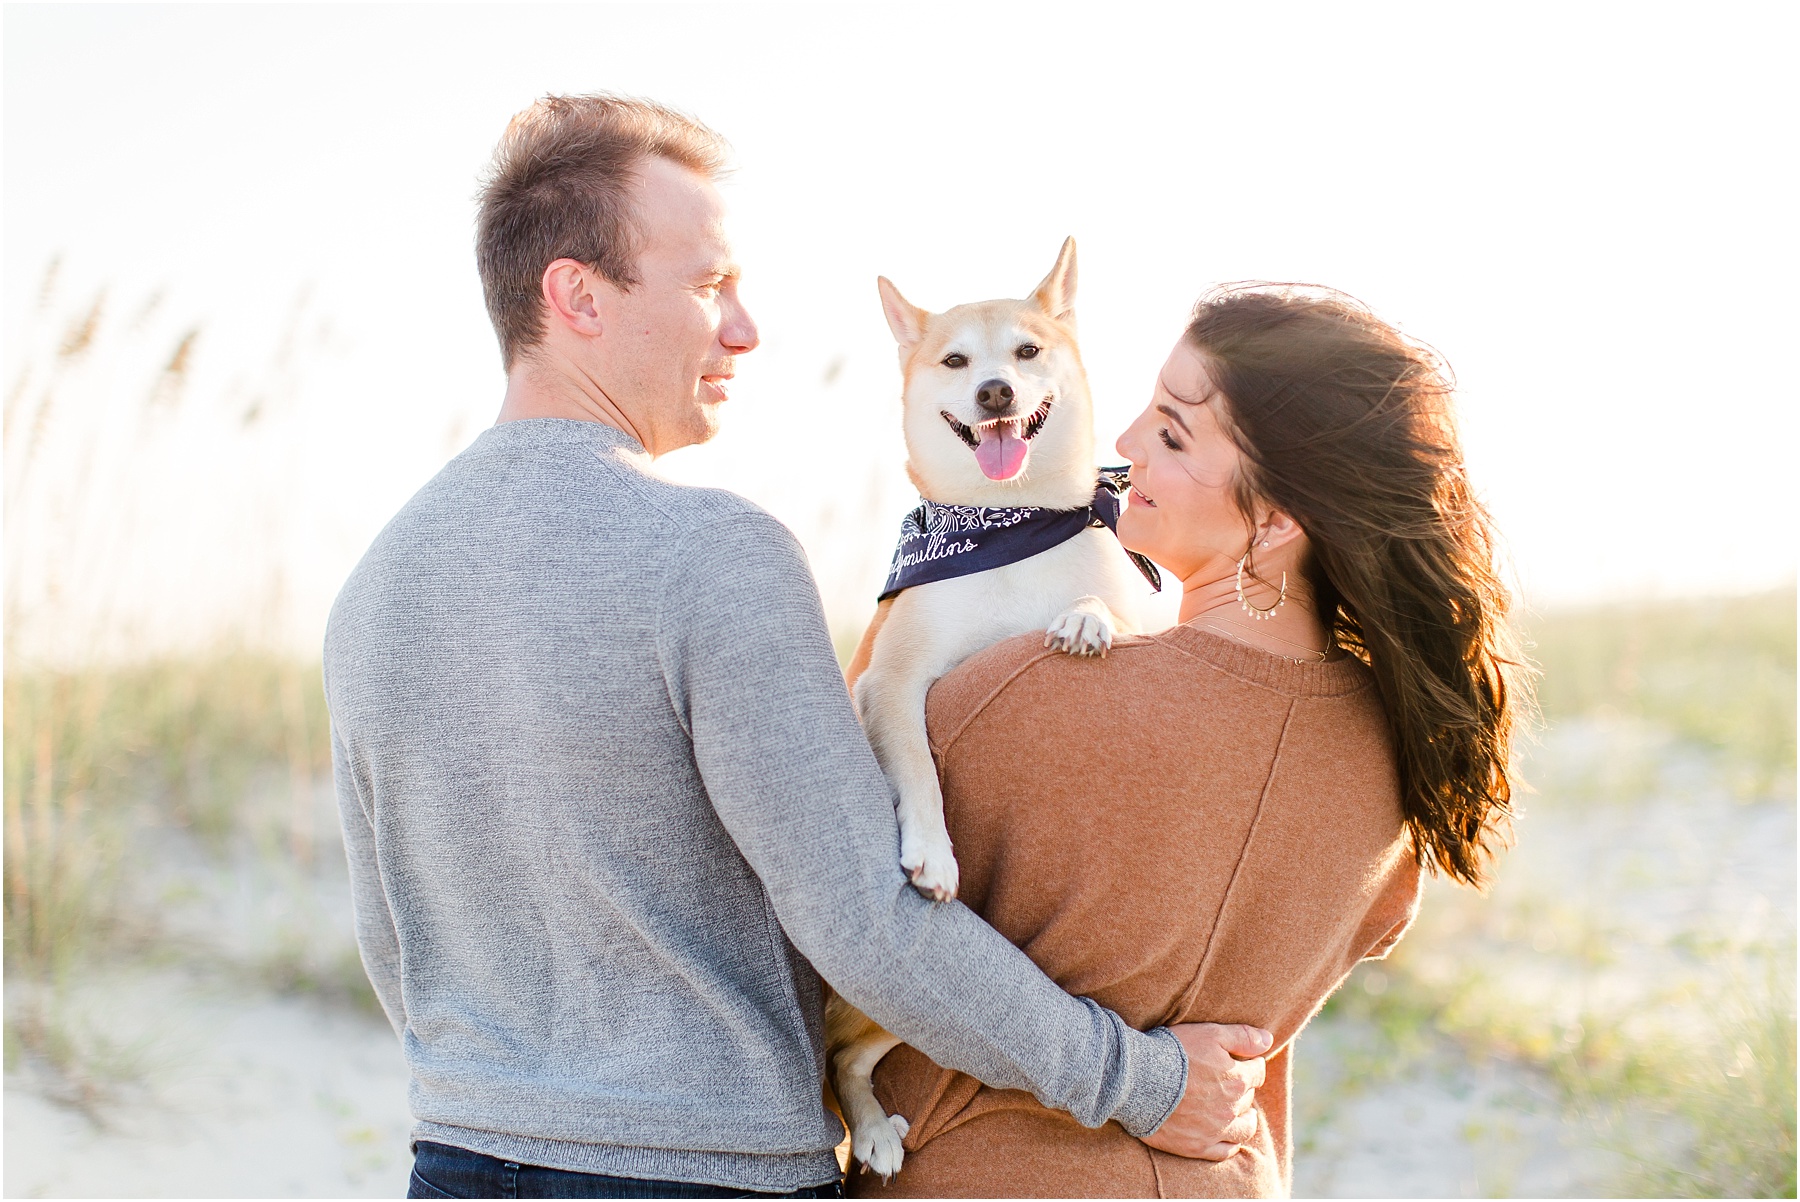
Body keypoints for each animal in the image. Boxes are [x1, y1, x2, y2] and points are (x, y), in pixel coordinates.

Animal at [824, 239, 1152, 1180]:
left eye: (1027, 351)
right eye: (955, 362)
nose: (997, 393)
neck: (1014, 524)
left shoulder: (1151, 611)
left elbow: (1116, 608)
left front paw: (1085, 618)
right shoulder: (891, 681)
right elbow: (917, 770)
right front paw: (933, 853)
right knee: (838, 1059)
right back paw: (873, 1129)